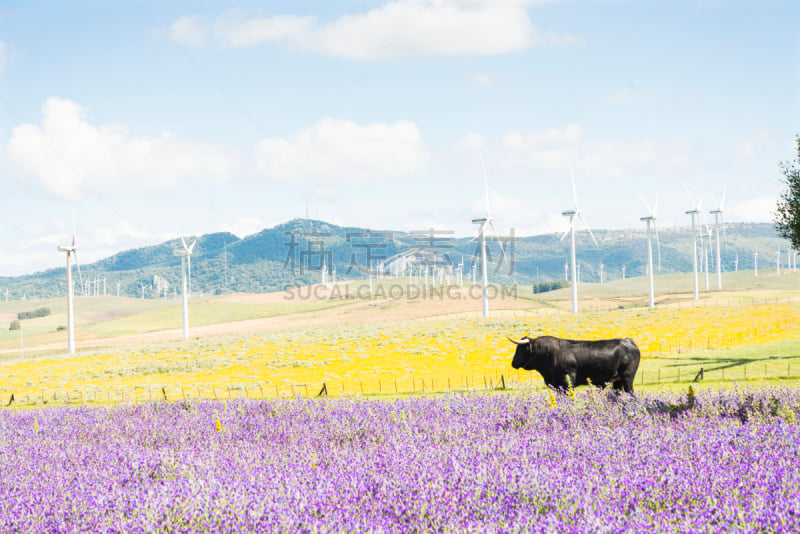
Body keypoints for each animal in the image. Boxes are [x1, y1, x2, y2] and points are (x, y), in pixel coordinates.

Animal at [510, 336, 640, 394]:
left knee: (631, 392)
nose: (513, 363)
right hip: (617, 381)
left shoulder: (568, 381)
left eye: (520, 349)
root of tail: (628, 340)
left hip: (628, 377)